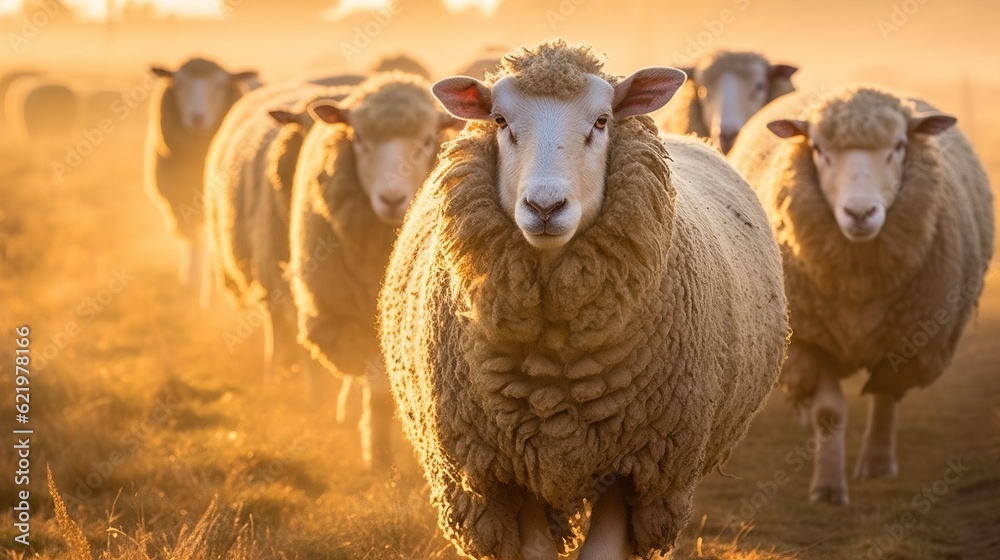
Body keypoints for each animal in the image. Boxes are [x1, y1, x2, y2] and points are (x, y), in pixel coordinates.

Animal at [144, 57, 258, 293]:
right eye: (177, 83)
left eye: (221, 85)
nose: (197, 117)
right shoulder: (177, 200)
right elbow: (192, 238)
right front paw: (190, 278)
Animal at [288, 71, 460, 470]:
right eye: (359, 139)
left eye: (427, 140)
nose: (392, 199)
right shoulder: (350, 316)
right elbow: (376, 386)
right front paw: (377, 453)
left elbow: (382, 391)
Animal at [728, 85, 994, 505]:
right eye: (817, 148)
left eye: (899, 145)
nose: (860, 213)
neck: (857, 279)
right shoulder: (807, 340)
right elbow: (828, 412)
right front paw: (828, 487)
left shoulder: (909, 339)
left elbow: (885, 394)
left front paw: (877, 464)